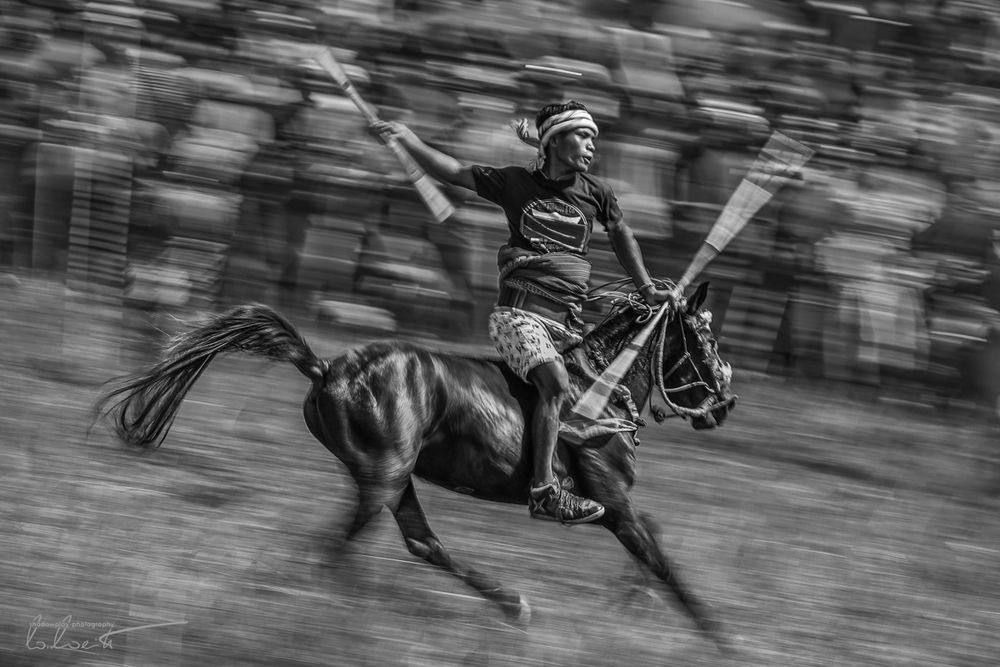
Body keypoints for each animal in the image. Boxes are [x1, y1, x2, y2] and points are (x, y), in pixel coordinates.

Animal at [95, 282, 736, 652]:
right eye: (703, 337)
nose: (726, 403)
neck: (597, 383)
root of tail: (325, 367)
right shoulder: (612, 502)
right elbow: (662, 562)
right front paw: (722, 641)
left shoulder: (613, 504)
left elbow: (653, 549)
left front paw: (631, 603)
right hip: (384, 473)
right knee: (343, 547)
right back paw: (314, 625)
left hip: (394, 477)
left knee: (420, 543)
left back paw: (511, 605)